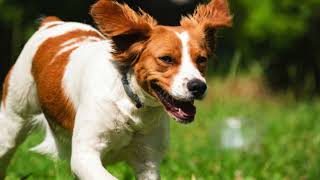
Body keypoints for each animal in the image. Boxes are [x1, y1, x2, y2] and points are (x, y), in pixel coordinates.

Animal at [0, 0, 230, 179]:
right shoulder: (84, 156)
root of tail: (53, 23)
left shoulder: (148, 161)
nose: (198, 86)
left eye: (202, 59)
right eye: (166, 59)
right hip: (12, 122)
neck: (132, 103)